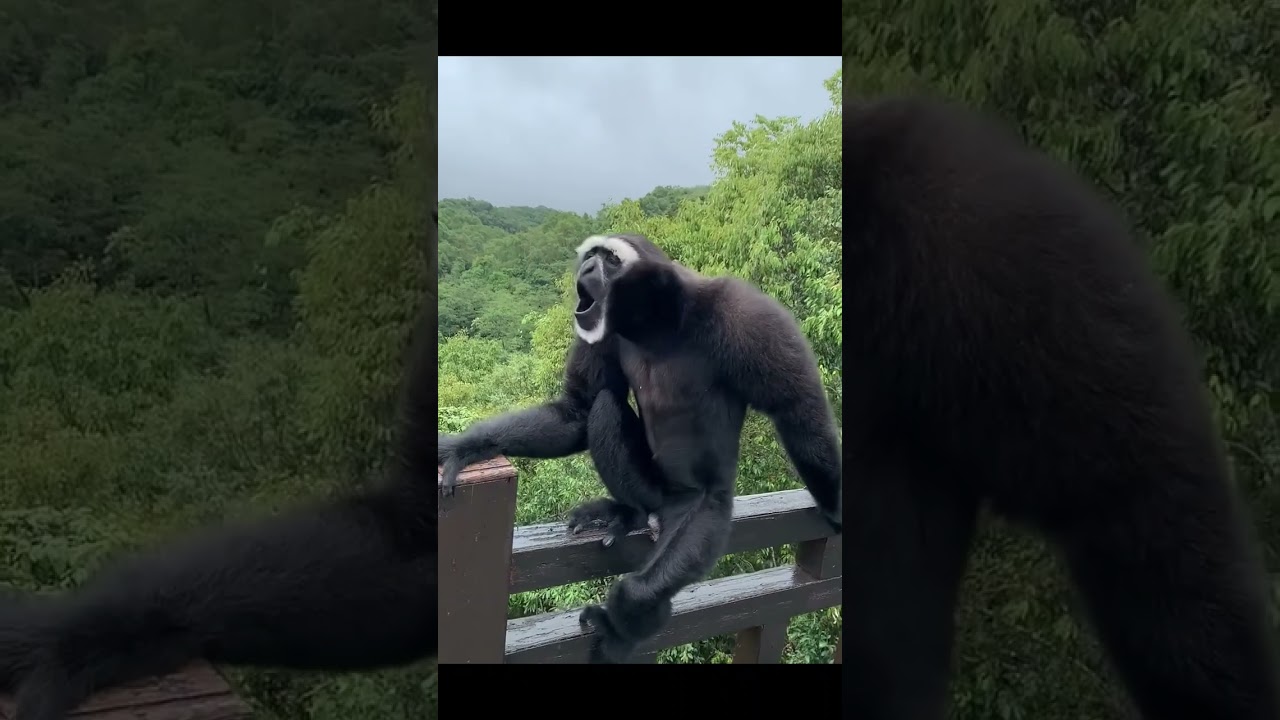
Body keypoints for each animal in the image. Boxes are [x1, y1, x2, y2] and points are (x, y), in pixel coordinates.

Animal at [437, 233, 843, 663]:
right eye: (591, 255)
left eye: (610, 259)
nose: (587, 266)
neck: (657, 325)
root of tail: (662, 503)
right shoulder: (605, 332)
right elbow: (579, 409)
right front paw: (469, 447)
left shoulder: (744, 312)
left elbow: (797, 407)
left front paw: (835, 506)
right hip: (648, 488)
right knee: (604, 406)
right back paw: (627, 512)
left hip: (702, 507)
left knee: (657, 573)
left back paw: (621, 630)